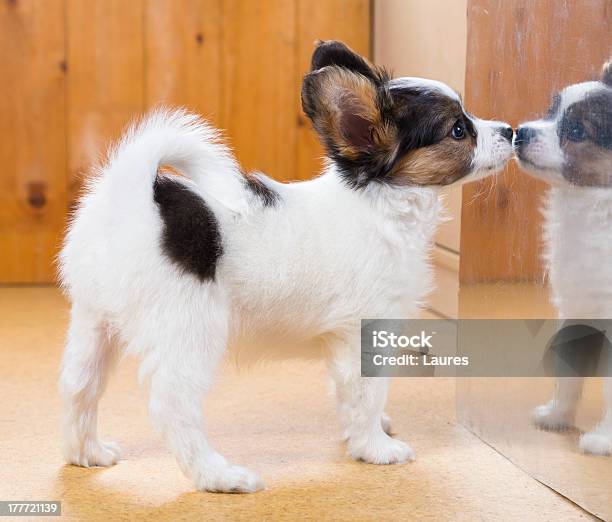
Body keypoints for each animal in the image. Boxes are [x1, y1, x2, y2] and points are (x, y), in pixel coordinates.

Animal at [59, 41, 512, 492]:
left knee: (79, 386)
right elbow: (366, 392)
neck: (381, 205)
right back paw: (219, 476)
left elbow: (349, 394)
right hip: (189, 330)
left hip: (94, 323)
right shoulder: (362, 332)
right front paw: (375, 447)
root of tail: (132, 198)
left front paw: (365, 431)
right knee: (173, 404)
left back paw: (86, 453)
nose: (510, 130)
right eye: (458, 130)